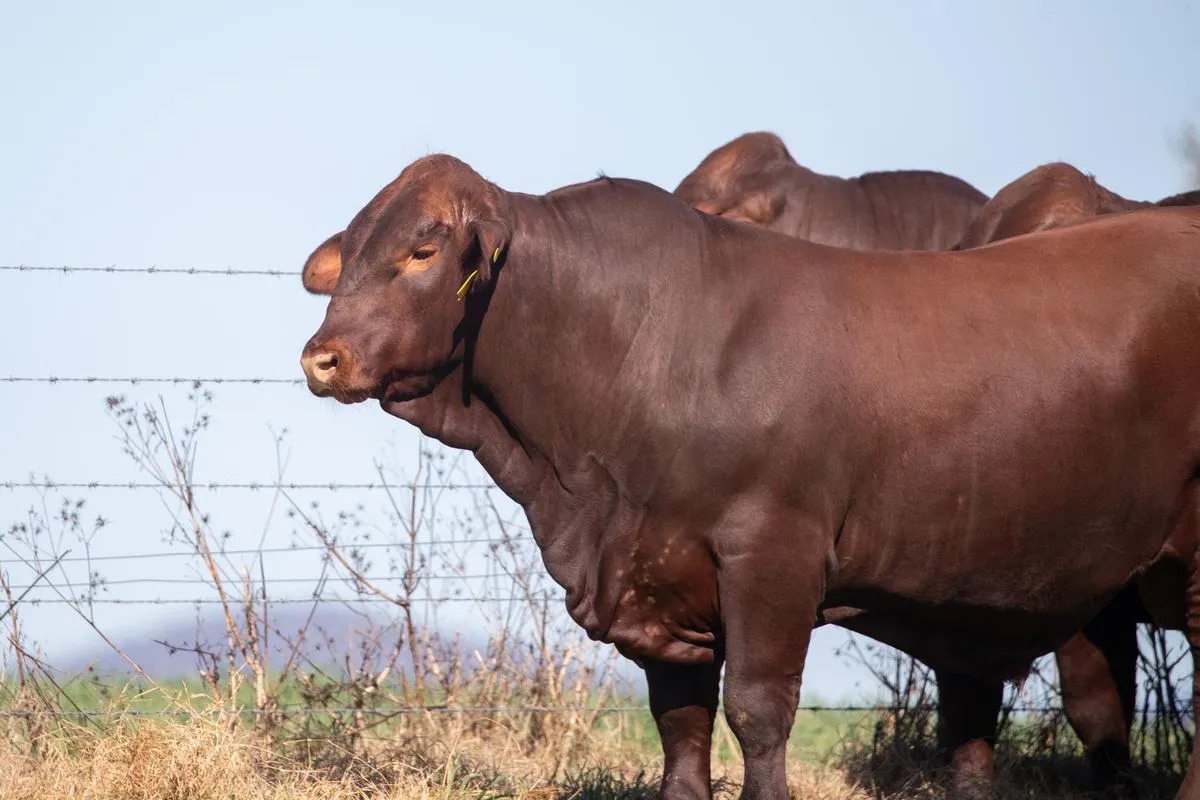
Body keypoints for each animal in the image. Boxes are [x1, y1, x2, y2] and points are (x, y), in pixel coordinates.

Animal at [298, 154, 1200, 800]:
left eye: (422, 250)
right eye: (354, 252)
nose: (320, 357)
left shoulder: (773, 559)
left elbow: (759, 714)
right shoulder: (658, 585)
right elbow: (683, 729)